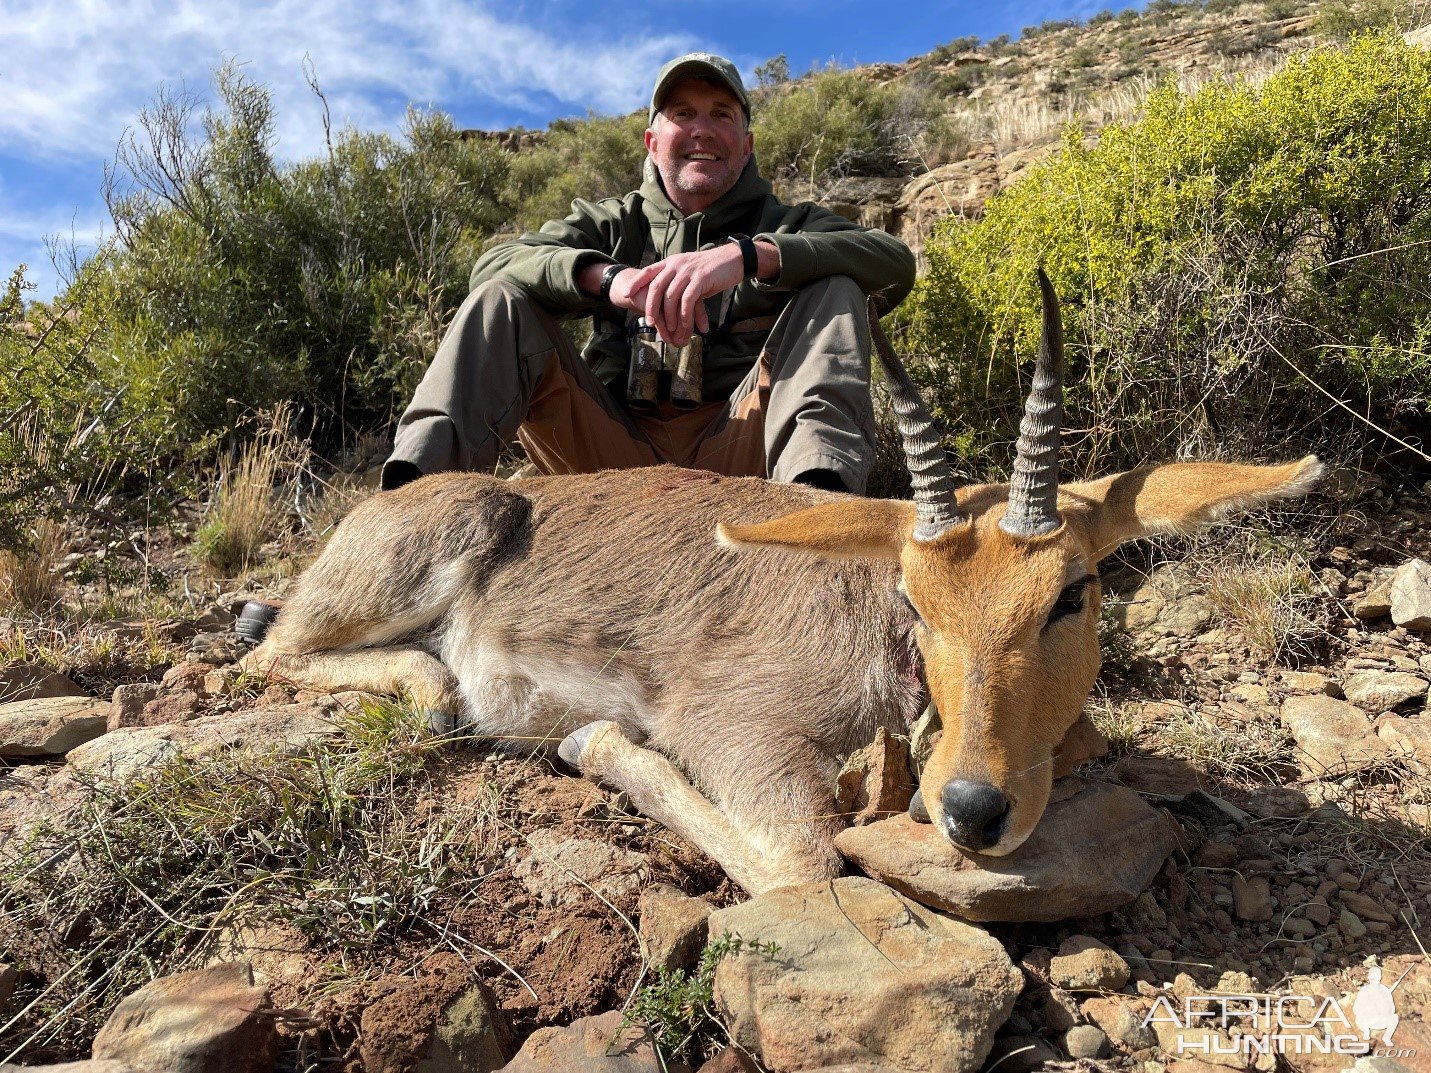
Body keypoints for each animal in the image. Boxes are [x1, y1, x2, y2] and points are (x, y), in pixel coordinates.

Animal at [240, 273, 1322, 892]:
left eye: (1073, 591)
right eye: (914, 600)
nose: (974, 808)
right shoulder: (728, 727)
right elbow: (805, 859)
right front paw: (592, 739)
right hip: (429, 553)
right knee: (282, 652)